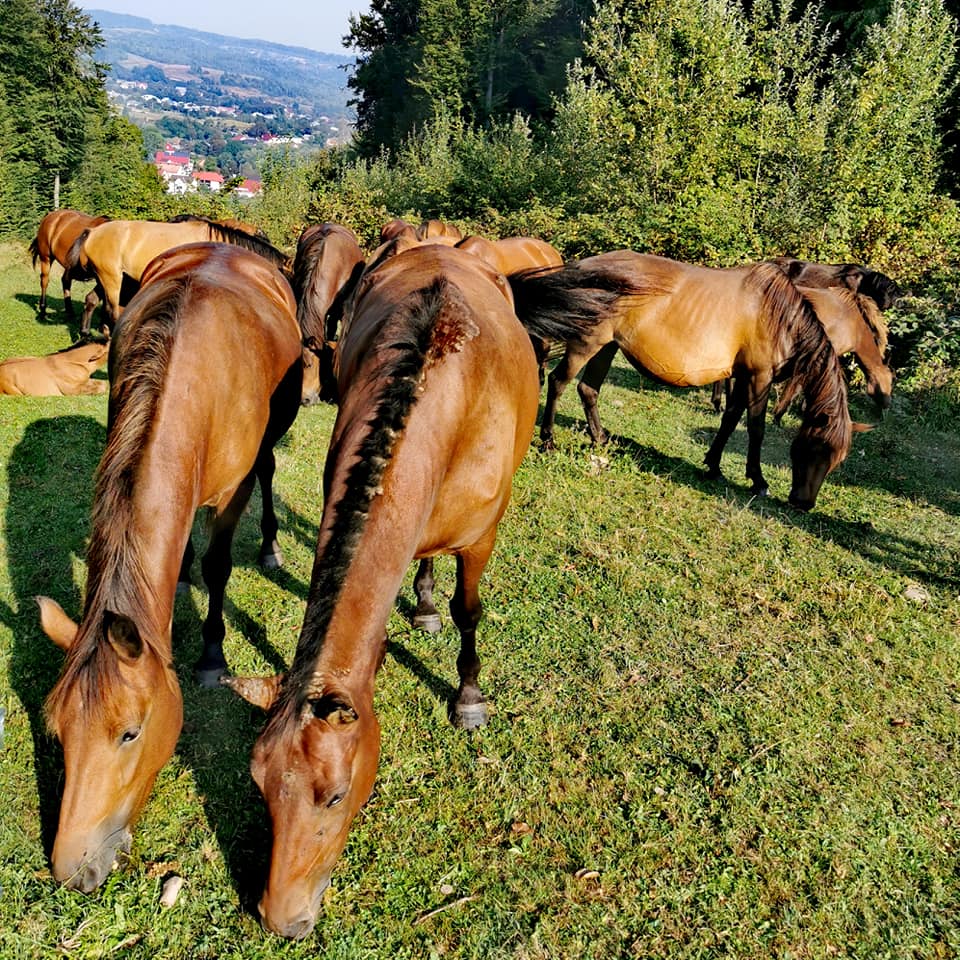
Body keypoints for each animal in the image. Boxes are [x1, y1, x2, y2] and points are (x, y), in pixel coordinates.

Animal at [39, 244, 302, 896]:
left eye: (129, 733)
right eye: (59, 731)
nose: (72, 869)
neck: (191, 374)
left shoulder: (232, 493)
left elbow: (218, 563)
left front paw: (210, 655)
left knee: (268, 474)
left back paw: (268, 547)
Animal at [65, 218, 288, 338]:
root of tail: (92, 232)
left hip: (106, 278)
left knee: (91, 300)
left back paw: (85, 333)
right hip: (112, 279)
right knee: (111, 311)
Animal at [544, 251, 852, 512]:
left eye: (835, 460)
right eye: (816, 450)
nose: (804, 504)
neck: (779, 318)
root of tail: (583, 266)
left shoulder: (743, 377)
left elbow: (730, 419)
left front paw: (714, 466)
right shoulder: (759, 377)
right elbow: (756, 429)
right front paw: (757, 480)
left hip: (606, 347)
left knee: (588, 390)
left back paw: (600, 438)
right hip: (586, 343)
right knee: (557, 382)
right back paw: (548, 442)